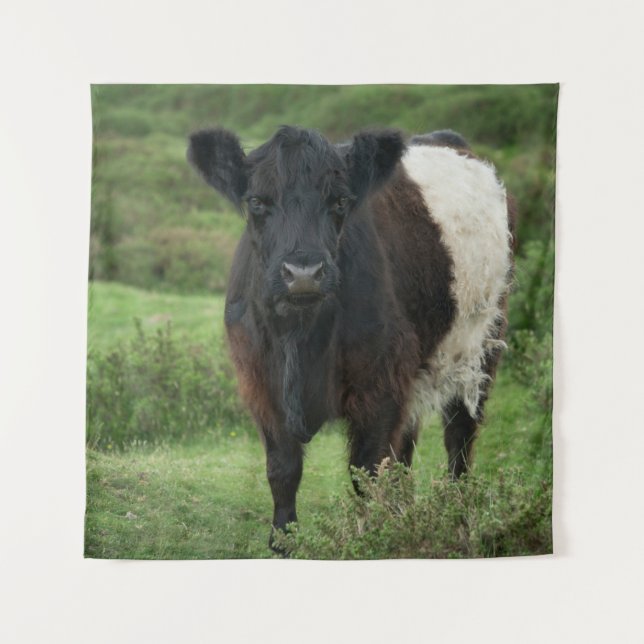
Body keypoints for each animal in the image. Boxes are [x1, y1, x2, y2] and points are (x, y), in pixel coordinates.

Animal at [188, 125, 514, 551]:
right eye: (256, 202)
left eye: (340, 201)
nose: (304, 273)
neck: (301, 337)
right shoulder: (260, 383)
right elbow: (283, 468)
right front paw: (283, 541)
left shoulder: (381, 384)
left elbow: (368, 471)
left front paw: (373, 536)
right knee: (407, 447)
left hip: (480, 347)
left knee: (459, 435)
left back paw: (458, 517)